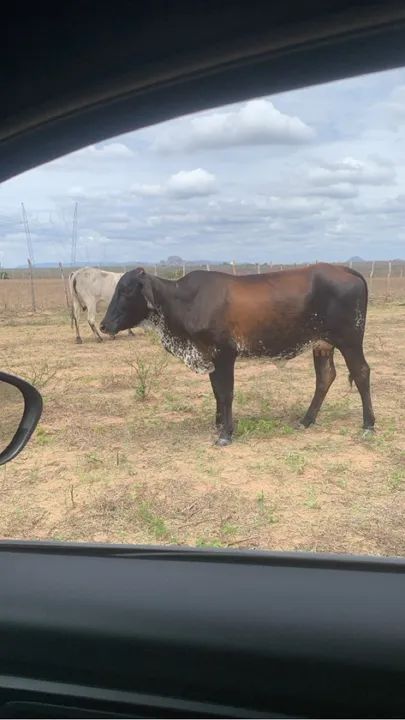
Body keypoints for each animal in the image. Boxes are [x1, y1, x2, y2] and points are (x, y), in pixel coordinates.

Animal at [100, 264, 375, 445]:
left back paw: (368, 425)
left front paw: (226, 434)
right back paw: (306, 420)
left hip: (350, 340)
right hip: (322, 344)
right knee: (325, 377)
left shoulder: (224, 354)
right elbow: (216, 392)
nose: (104, 325)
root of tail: (344, 269)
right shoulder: (210, 355)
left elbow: (226, 393)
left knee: (361, 373)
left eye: (126, 291)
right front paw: (219, 424)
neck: (184, 302)